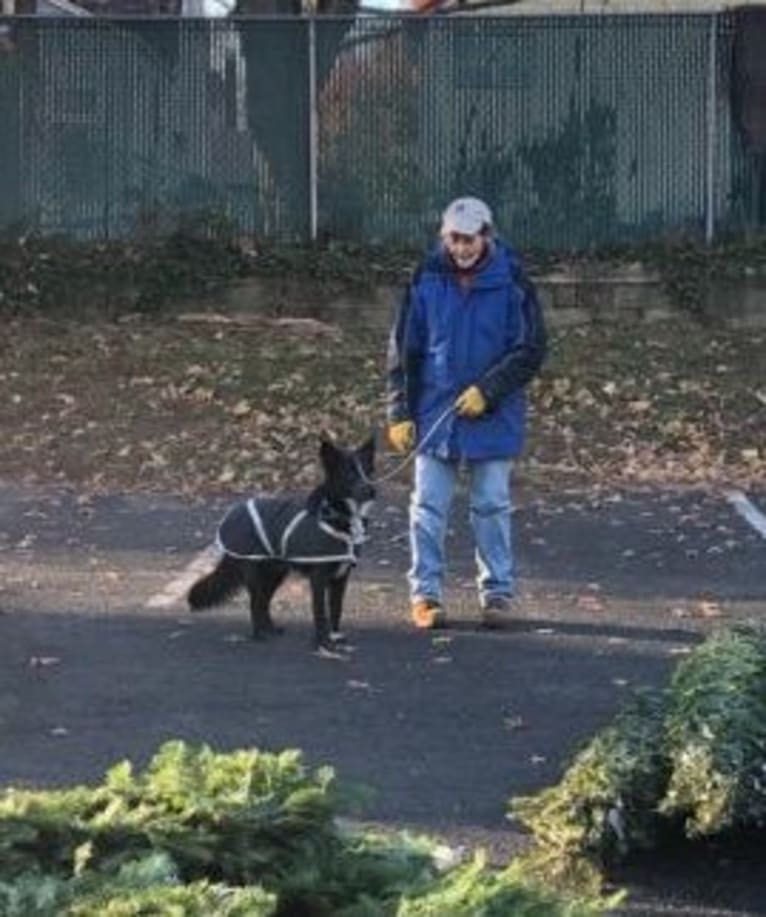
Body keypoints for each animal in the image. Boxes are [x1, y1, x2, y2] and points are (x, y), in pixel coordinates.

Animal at [189, 436, 376, 652]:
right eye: (348, 473)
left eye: (368, 471)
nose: (371, 490)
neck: (337, 513)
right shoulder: (319, 579)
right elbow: (320, 613)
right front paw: (323, 643)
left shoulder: (341, 578)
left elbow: (337, 610)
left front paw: (335, 637)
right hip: (255, 573)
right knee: (255, 603)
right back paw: (259, 634)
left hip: (275, 573)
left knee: (263, 602)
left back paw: (270, 629)